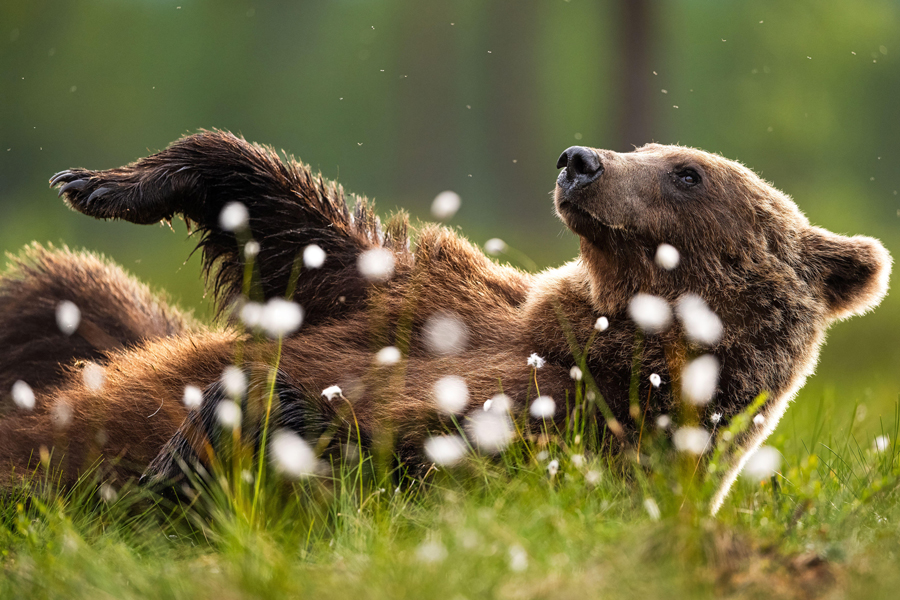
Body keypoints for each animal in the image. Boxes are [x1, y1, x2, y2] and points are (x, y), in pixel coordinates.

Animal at [0, 131, 890, 514]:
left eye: (687, 172)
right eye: (649, 146)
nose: (580, 161)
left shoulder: (543, 438)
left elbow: (365, 453)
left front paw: (211, 430)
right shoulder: (434, 303)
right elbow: (297, 227)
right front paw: (99, 182)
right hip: (99, 316)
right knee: (53, 288)